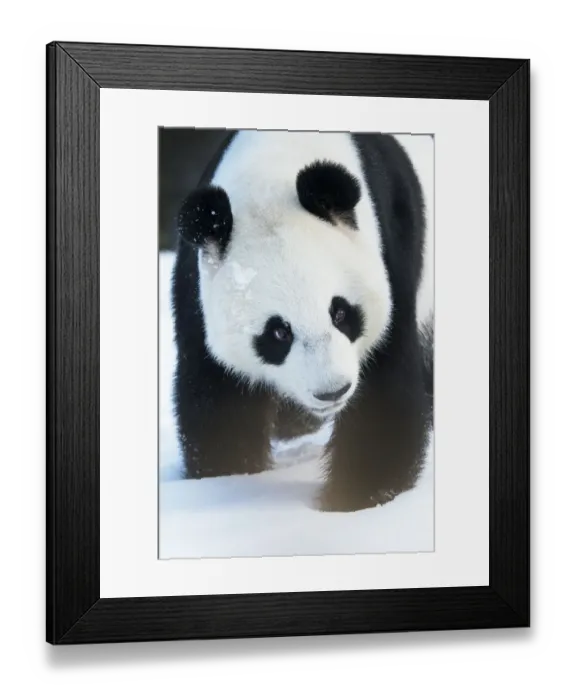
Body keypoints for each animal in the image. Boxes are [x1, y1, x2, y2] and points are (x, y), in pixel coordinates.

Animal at [171, 129, 434, 513]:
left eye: (340, 313)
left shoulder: (389, 252)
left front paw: (353, 499)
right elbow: (218, 395)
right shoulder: (199, 288)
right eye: (279, 332)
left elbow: (384, 391)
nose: (332, 391)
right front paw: (229, 479)